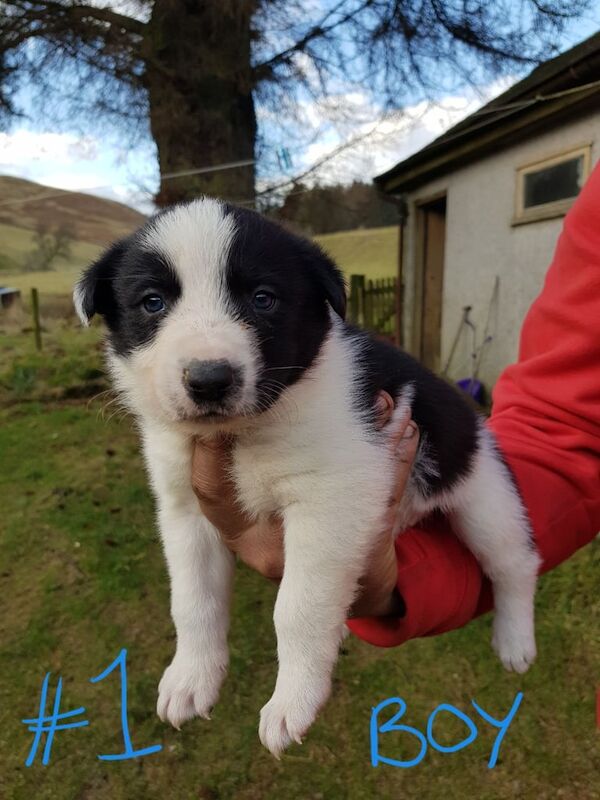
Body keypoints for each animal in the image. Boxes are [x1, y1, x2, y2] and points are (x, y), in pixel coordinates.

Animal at [74, 200, 540, 756]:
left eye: (263, 299)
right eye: (152, 303)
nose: (209, 380)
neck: (244, 432)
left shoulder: (331, 498)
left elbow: (297, 606)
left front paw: (293, 700)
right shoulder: (185, 510)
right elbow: (192, 600)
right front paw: (191, 677)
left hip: (485, 497)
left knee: (515, 564)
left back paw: (515, 639)